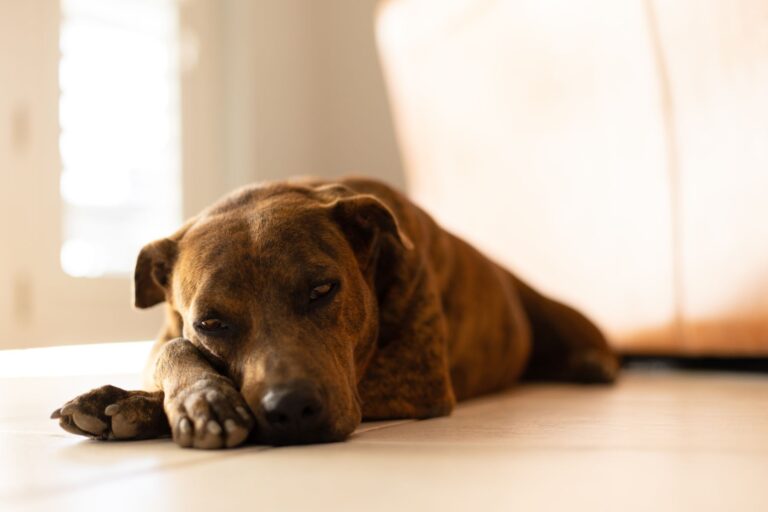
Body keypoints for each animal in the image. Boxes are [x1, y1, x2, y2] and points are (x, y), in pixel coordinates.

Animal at [51, 177, 616, 448]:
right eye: (210, 323)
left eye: (323, 289)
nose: (291, 409)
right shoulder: (166, 335)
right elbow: (175, 346)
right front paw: (167, 399)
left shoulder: (411, 380)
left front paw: (171, 406)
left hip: (557, 311)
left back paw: (592, 364)